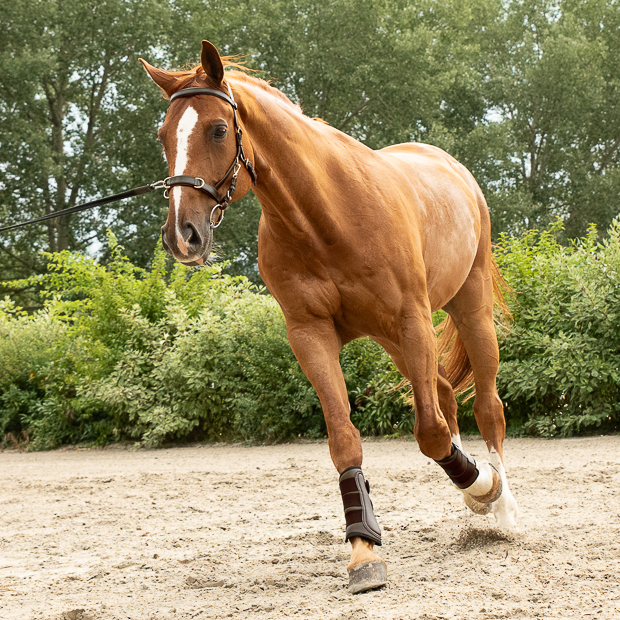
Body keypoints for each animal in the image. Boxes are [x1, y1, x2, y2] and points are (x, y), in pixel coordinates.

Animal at [140, 40, 520, 596]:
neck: (326, 218)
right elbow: (345, 440)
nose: (182, 235)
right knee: (447, 395)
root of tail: (450, 167)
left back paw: (501, 503)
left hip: (466, 311)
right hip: (394, 340)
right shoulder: (310, 335)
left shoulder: (411, 320)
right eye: (165, 134)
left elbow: (429, 433)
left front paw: (484, 489)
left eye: (217, 129)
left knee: (488, 406)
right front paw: (363, 550)